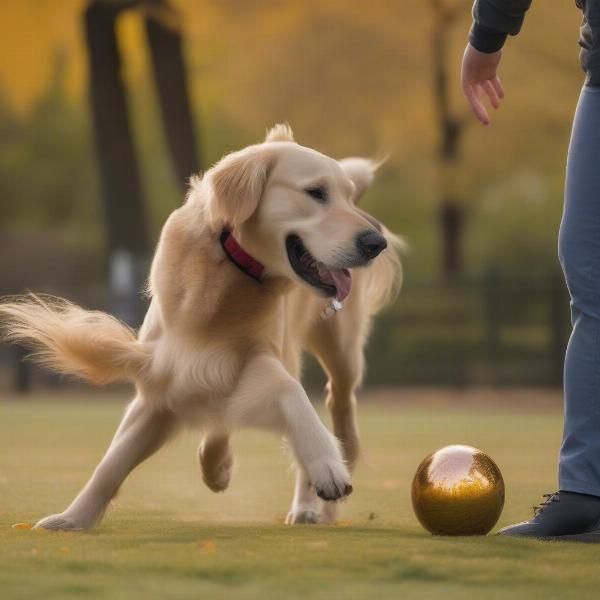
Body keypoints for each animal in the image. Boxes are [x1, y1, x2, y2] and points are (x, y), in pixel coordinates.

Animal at [2, 124, 404, 528]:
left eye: (346, 198)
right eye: (316, 192)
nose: (376, 242)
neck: (229, 268)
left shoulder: (256, 356)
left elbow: (290, 396)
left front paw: (327, 468)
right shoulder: (164, 378)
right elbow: (112, 463)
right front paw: (73, 519)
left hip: (338, 351)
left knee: (339, 404)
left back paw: (315, 500)